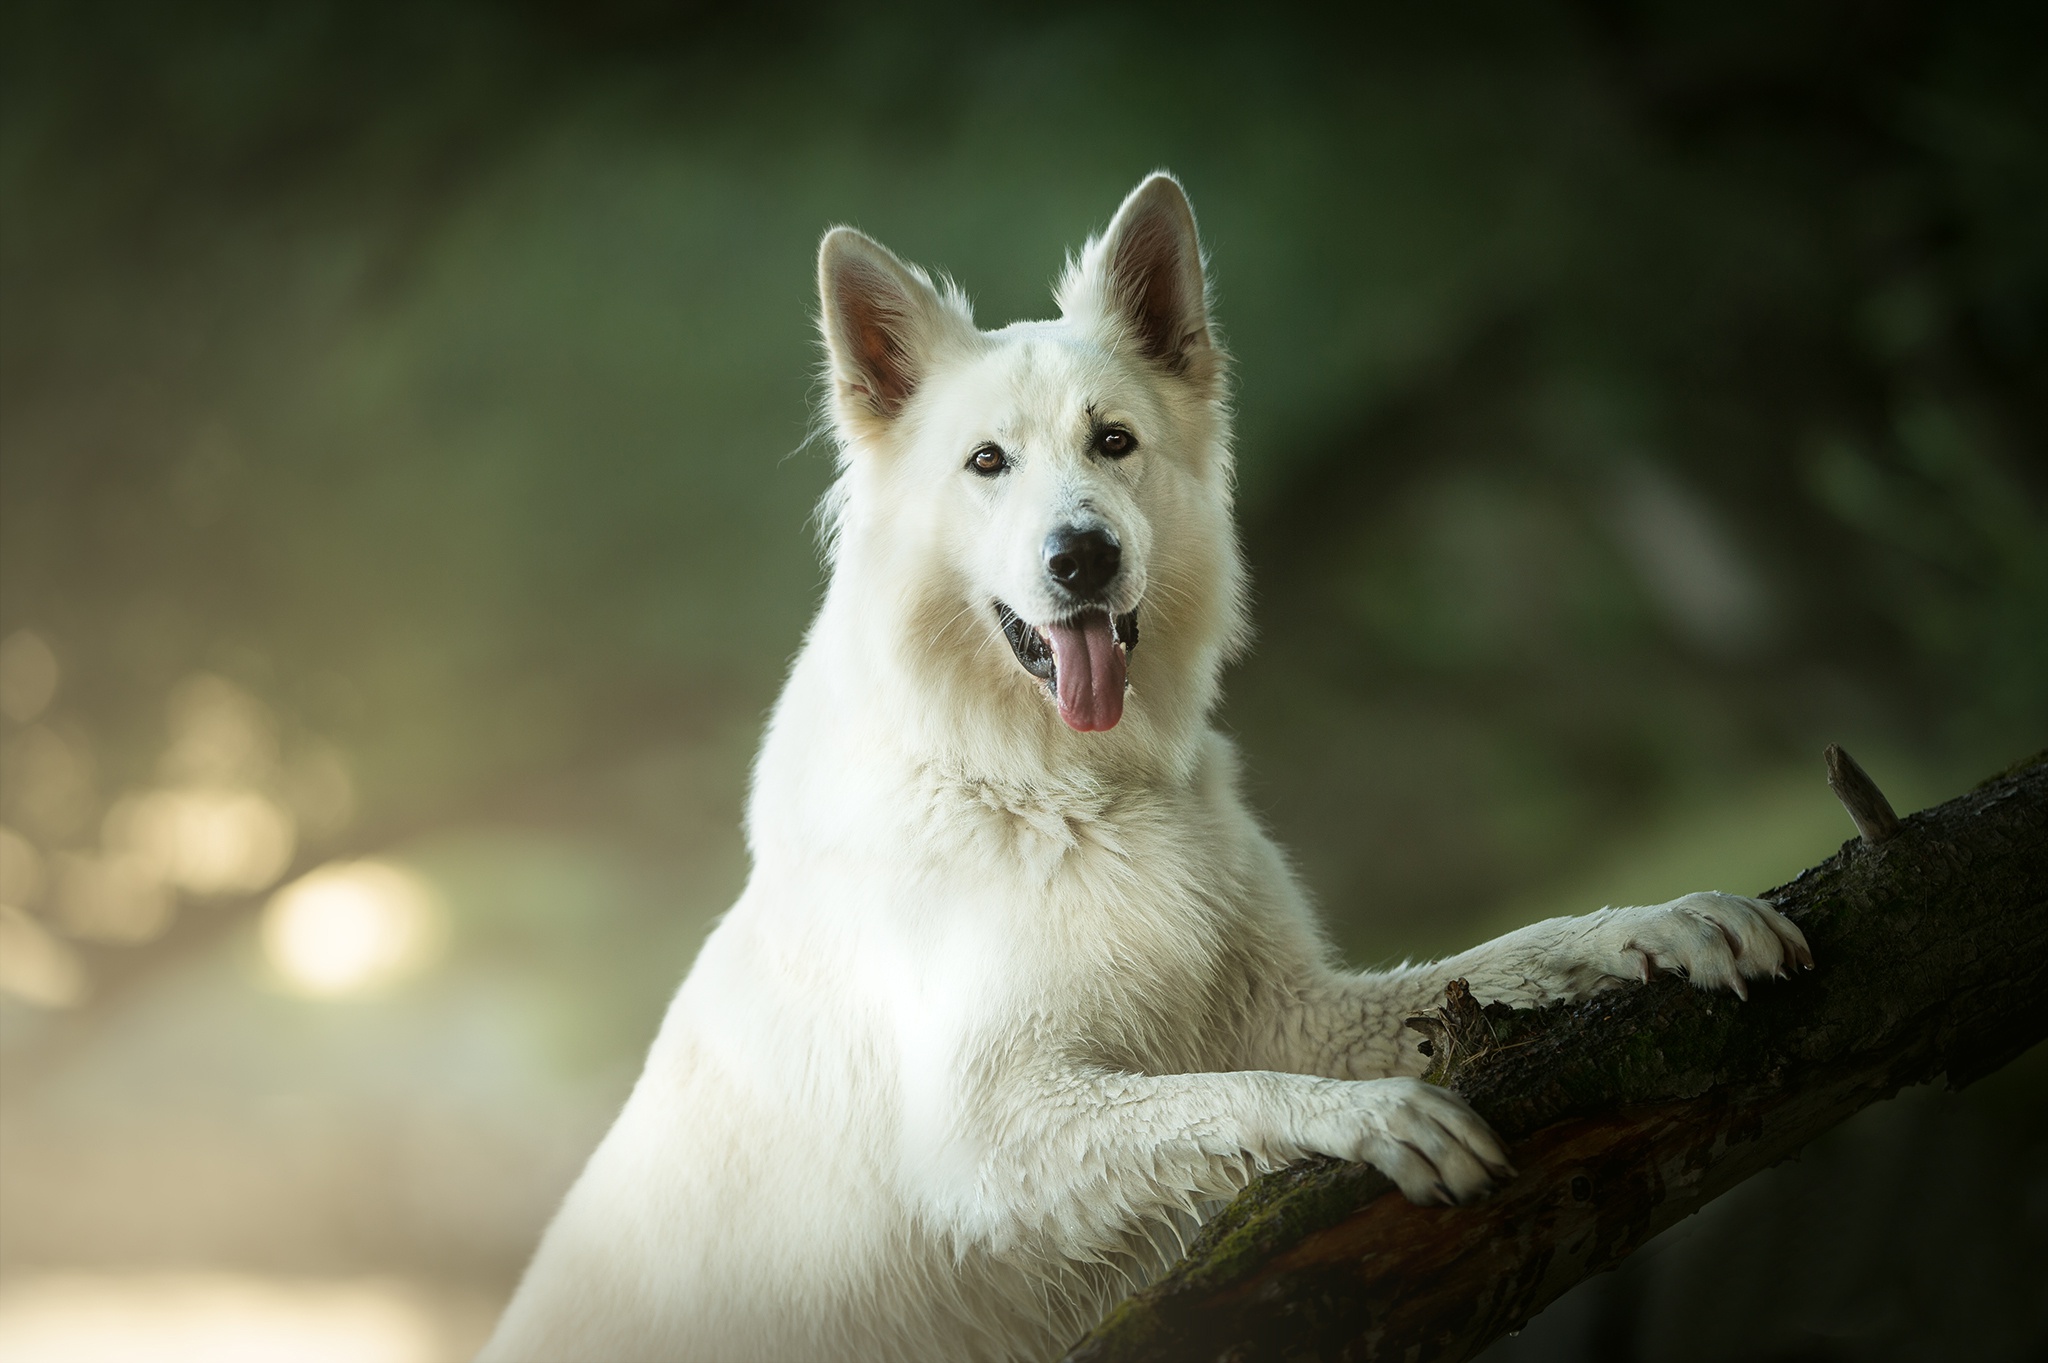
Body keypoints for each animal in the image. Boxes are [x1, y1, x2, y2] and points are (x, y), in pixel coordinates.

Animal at [475, 174, 1810, 1350]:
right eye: (987, 462)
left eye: (1111, 442)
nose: (1082, 558)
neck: (1057, 790)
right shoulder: (992, 1127)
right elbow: (1223, 1094)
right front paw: (1367, 1116)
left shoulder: (1292, 1007)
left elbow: (1507, 954)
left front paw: (1661, 924)